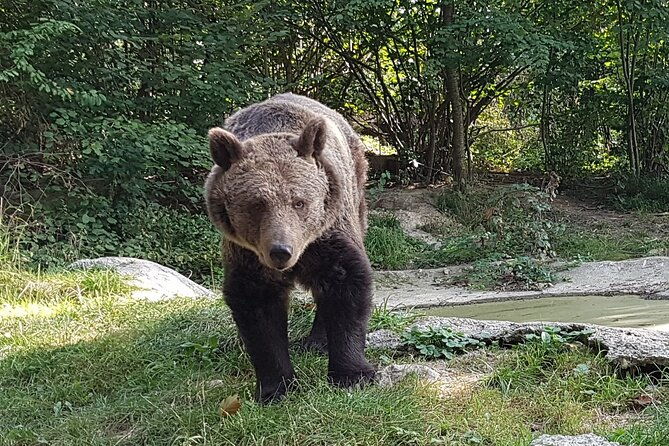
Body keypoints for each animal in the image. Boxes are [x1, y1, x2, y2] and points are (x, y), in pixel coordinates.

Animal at [204, 93, 376, 404]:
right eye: (256, 204)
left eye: (299, 201)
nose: (281, 251)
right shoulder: (249, 255)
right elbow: (258, 309)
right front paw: (276, 388)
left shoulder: (328, 235)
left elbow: (346, 285)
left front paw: (352, 374)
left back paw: (317, 341)